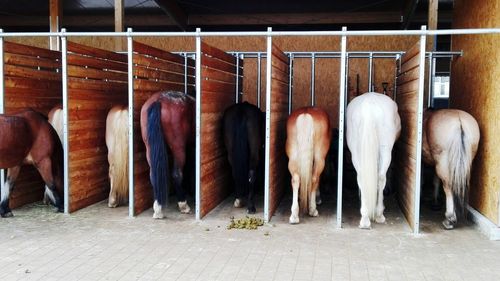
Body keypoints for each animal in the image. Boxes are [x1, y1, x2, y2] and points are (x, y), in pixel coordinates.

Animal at [346, 92, 400, 228]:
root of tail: (369, 106)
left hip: (356, 152)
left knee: (362, 176)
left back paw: (365, 218)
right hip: (386, 150)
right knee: (381, 177)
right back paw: (379, 214)